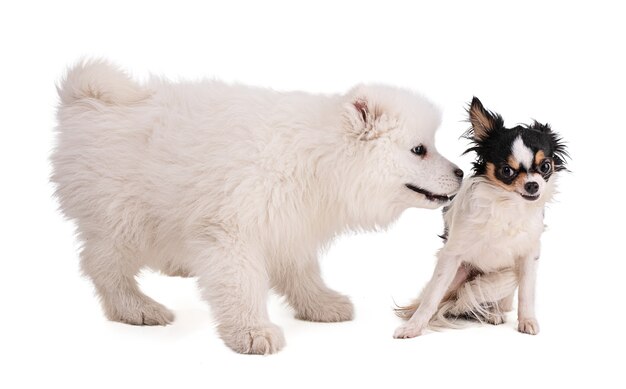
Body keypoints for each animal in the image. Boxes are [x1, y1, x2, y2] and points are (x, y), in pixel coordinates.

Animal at [52, 59, 464, 354]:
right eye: (419, 150)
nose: (461, 173)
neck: (317, 159)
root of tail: (85, 101)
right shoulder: (232, 229)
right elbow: (242, 284)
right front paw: (252, 331)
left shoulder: (289, 224)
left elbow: (301, 272)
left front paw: (320, 304)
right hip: (124, 216)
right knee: (103, 265)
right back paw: (138, 308)